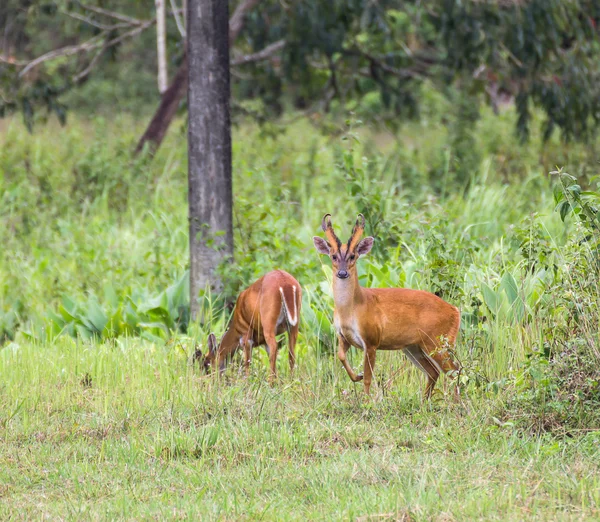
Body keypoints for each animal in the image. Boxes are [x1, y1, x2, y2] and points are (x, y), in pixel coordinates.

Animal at [312, 213, 462, 396]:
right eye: (333, 256)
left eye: (353, 256)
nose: (342, 272)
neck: (353, 308)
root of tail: (455, 311)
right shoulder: (343, 336)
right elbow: (341, 356)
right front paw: (357, 376)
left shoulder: (371, 339)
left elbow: (368, 379)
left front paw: (367, 400)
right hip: (414, 346)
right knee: (434, 372)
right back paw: (425, 401)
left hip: (438, 340)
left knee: (455, 371)